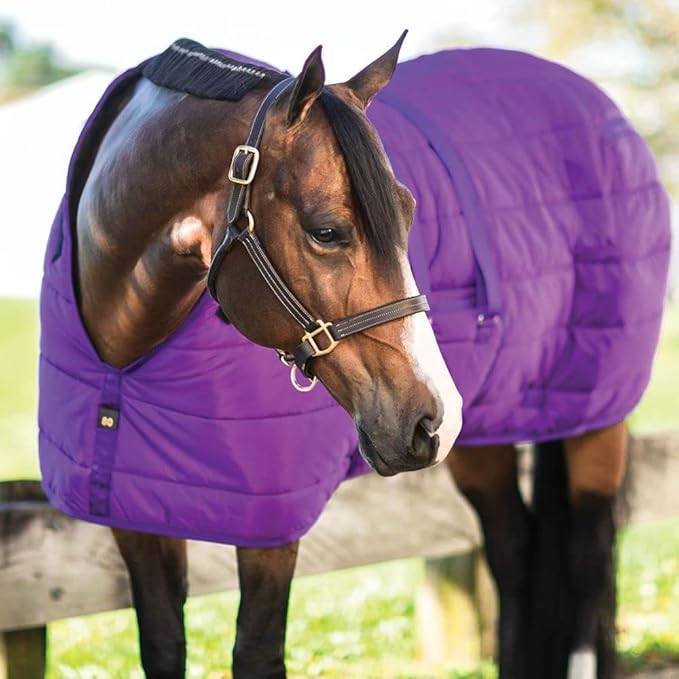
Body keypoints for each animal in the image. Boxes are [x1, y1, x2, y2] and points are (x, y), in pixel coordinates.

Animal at [37, 32, 670, 679]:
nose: (433, 416)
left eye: (410, 213)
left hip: (596, 419)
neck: (125, 364)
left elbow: (257, 653)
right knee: (513, 550)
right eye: (327, 231)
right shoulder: (134, 522)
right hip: (486, 438)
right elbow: (163, 647)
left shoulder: (271, 530)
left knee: (586, 560)